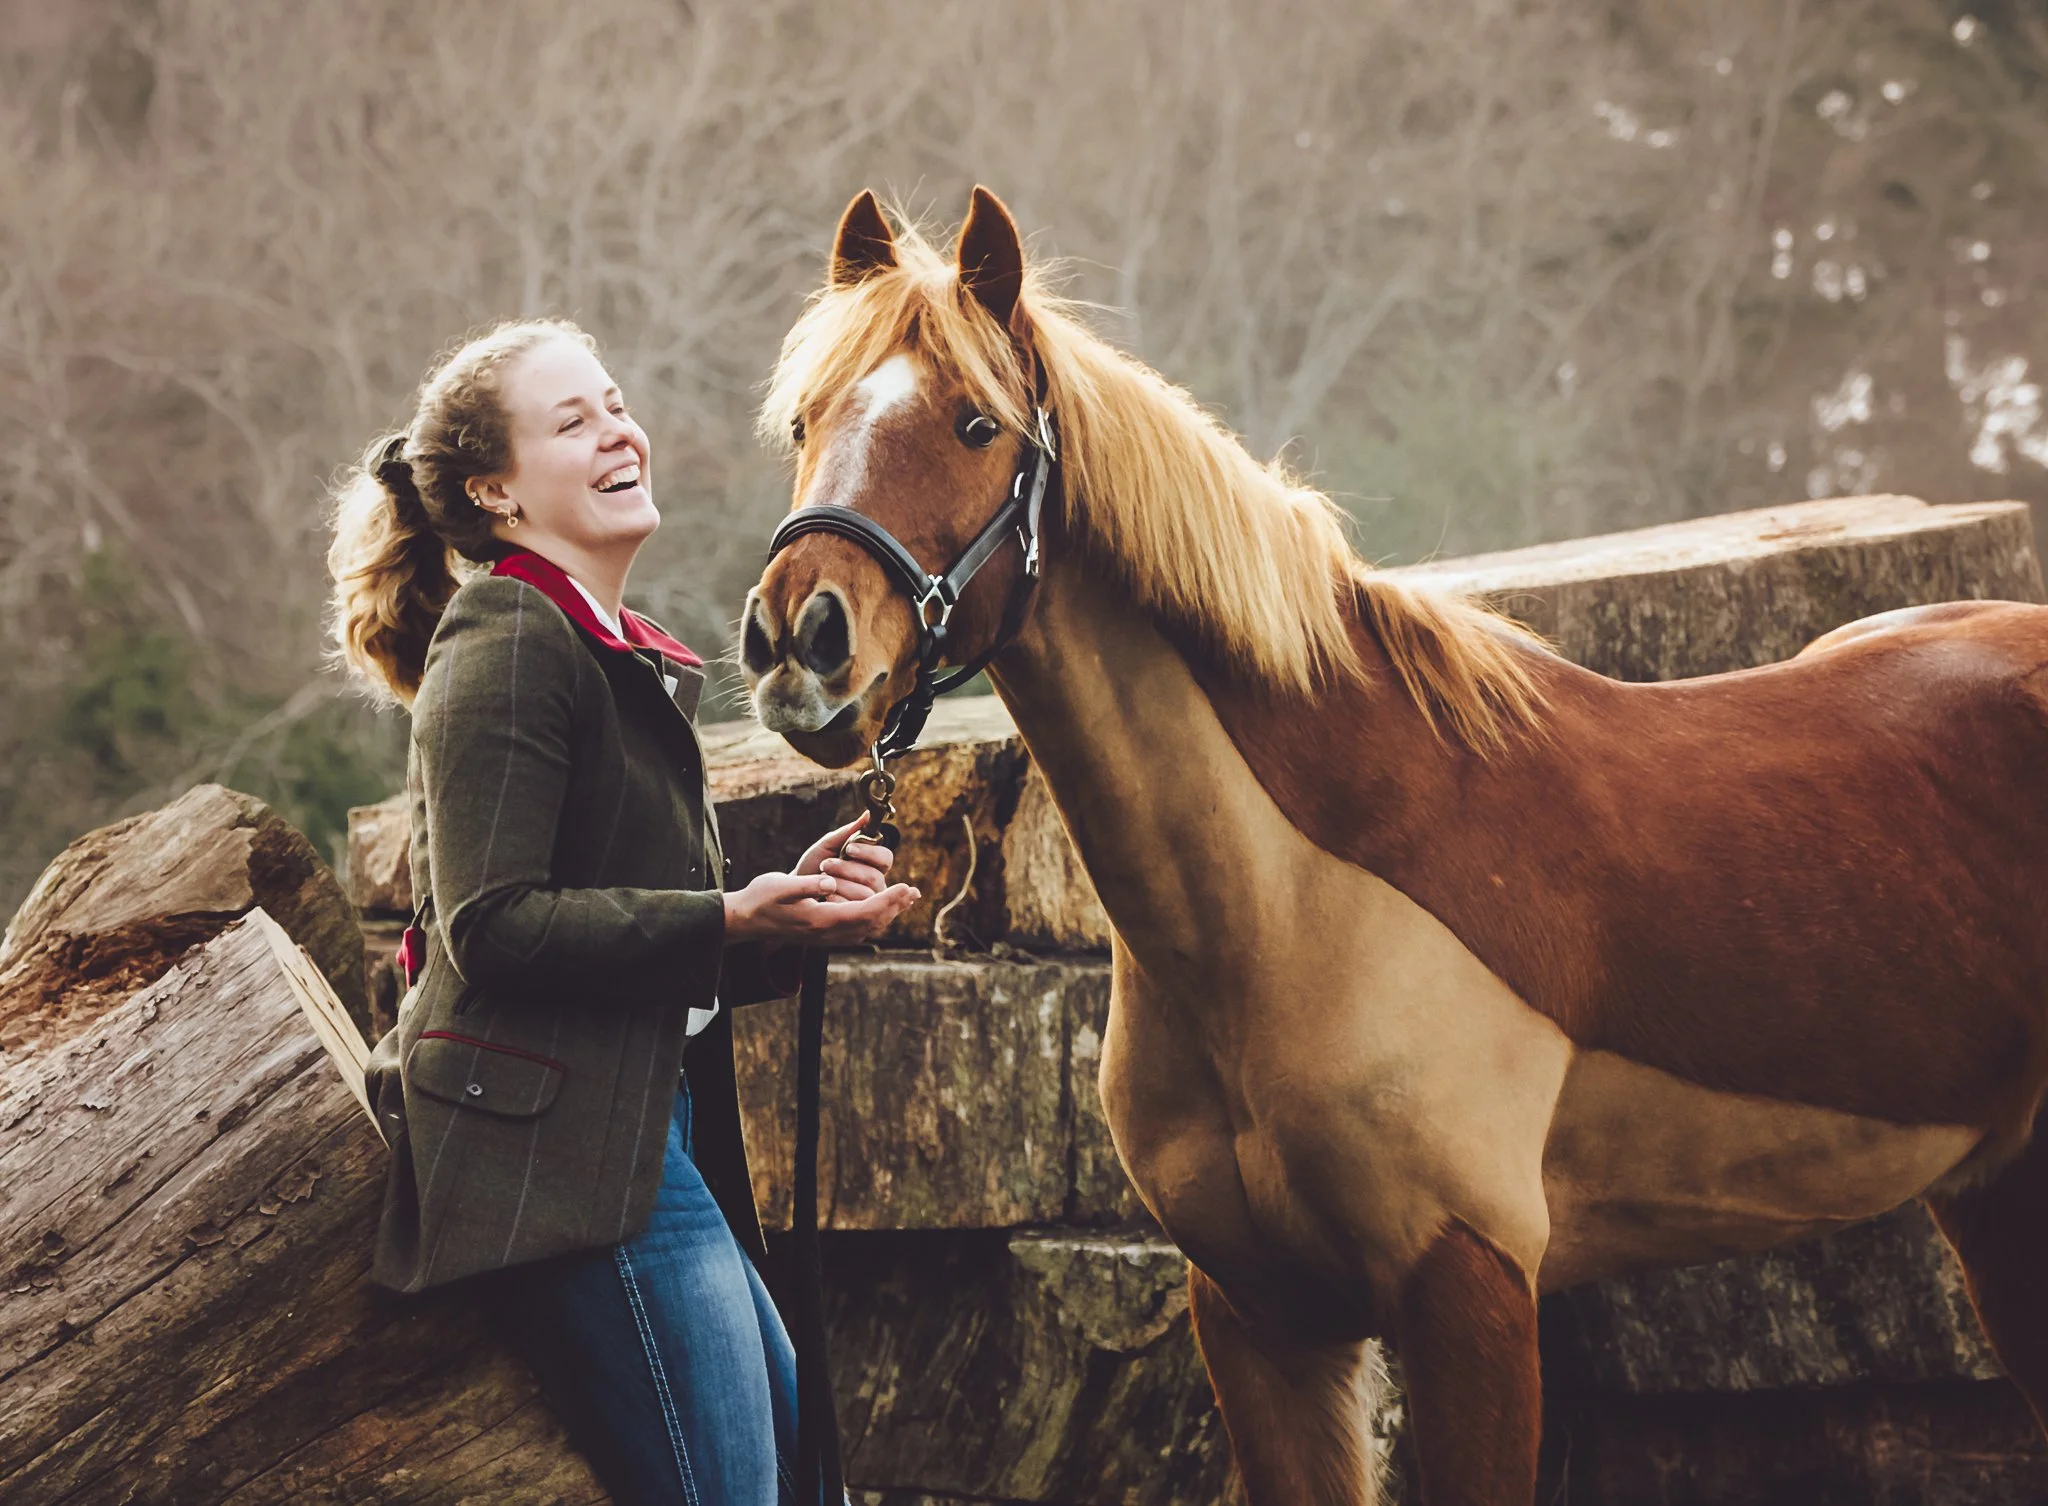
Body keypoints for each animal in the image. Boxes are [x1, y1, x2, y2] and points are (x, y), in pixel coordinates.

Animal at [739, 185, 2048, 1506]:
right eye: (802, 420)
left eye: (972, 424)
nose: (800, 640)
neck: (1285, 909)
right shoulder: (1258, 1317)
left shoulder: (1470, 1294)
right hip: (1995, 1200)